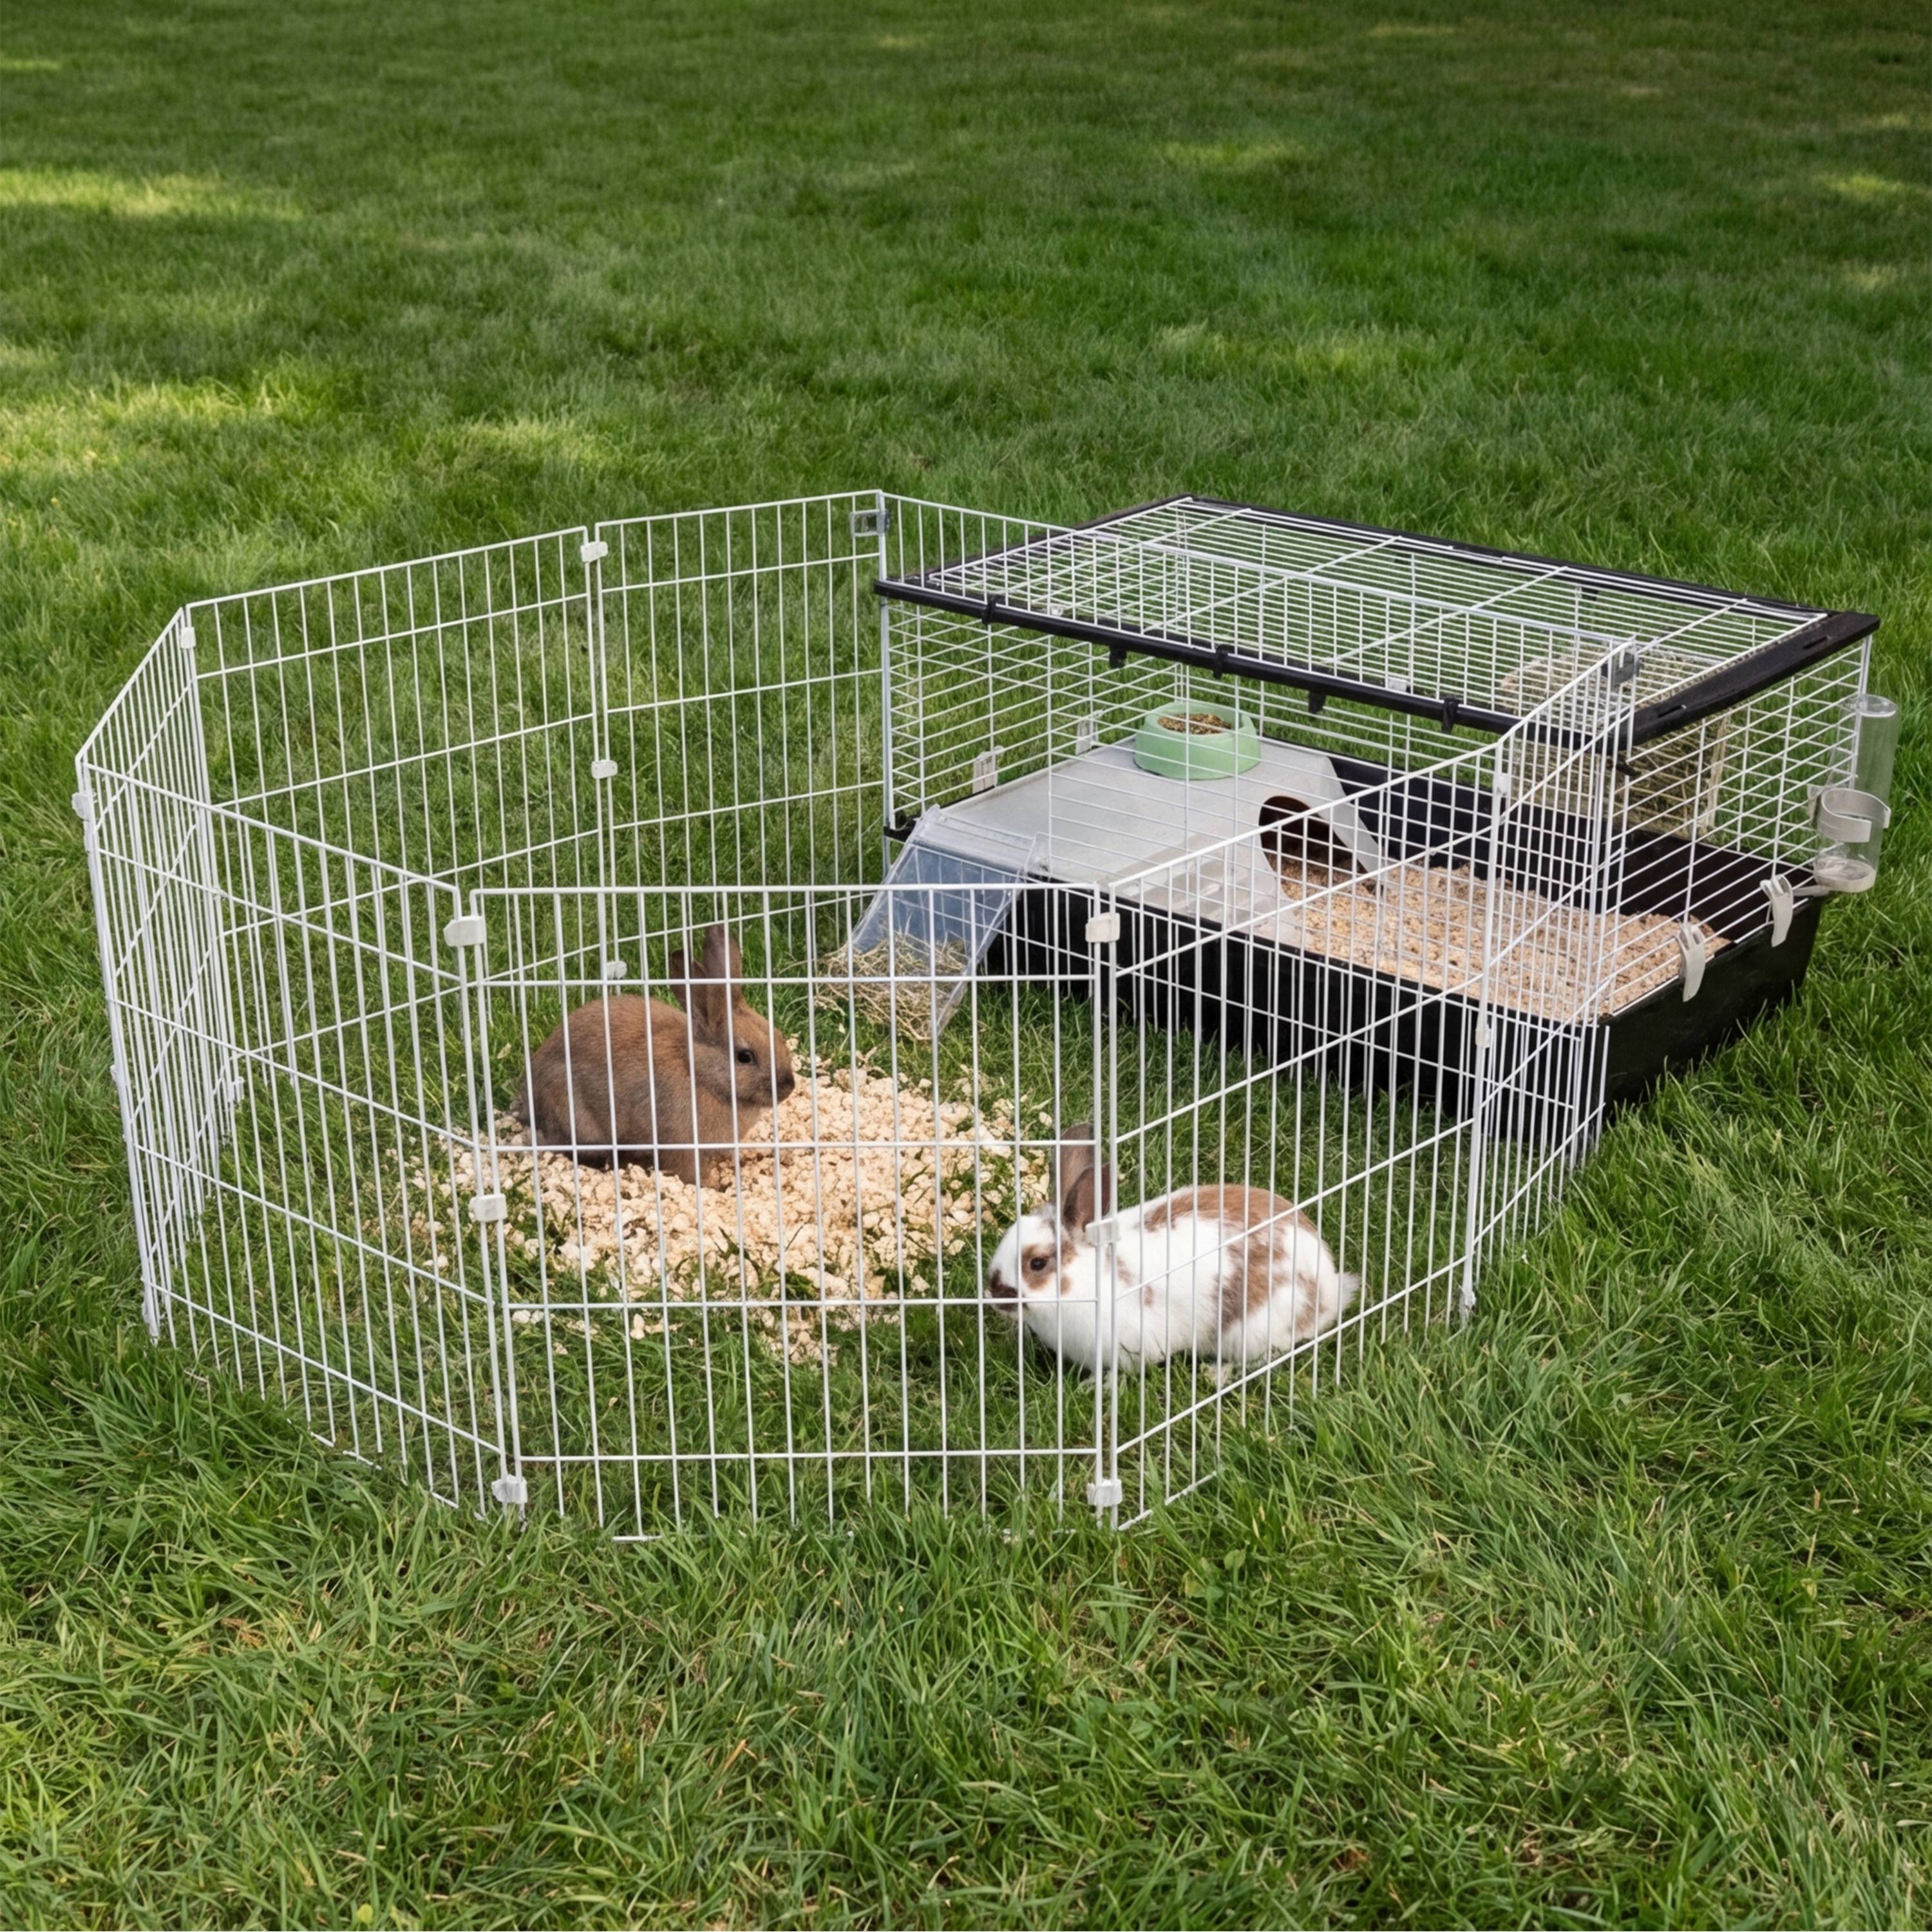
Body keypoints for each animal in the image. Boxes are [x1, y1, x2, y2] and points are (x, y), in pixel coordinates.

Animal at [511, 923, 796, 1186]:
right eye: (745, 1057)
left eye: (779, 1035)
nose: (788, 1086)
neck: (698, 1072)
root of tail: (530, 1097)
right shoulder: (680, 1144)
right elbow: (690, 1173)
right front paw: (712, 1186)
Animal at [985, 1123, 1356, 1379]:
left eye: (1038, 1263)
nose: (993, 1293)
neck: (1089, 1278)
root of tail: (1328, 1292)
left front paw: (1095, 1387)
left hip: (1253, 1330)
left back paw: (1216, 1374)